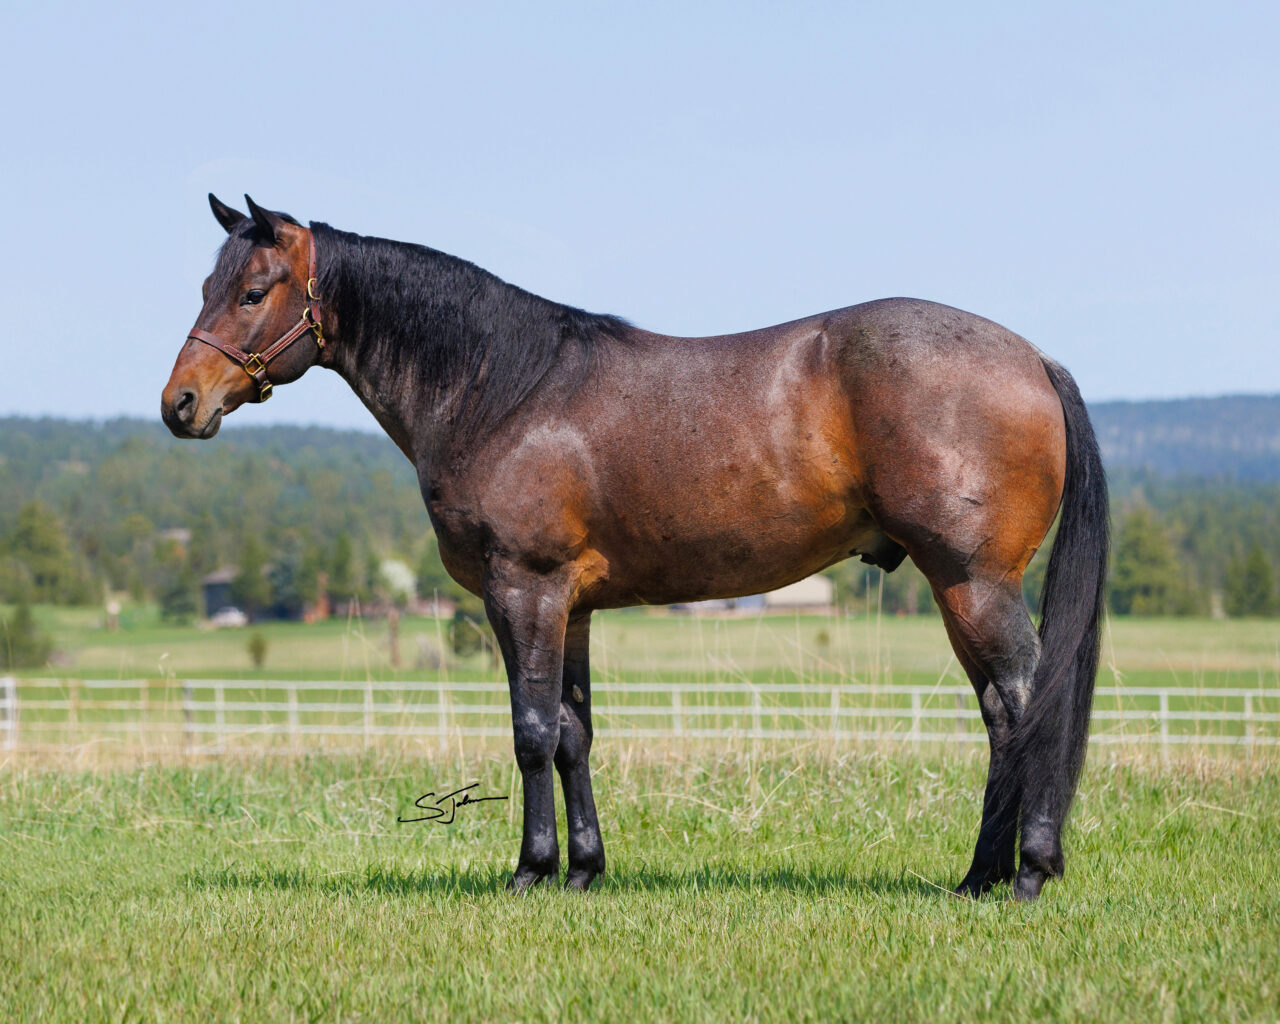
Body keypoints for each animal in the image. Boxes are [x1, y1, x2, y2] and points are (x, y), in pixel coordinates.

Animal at [162, 194, 1108, 901]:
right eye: (206, 282)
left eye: (253, 292)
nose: (181, 403)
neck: (505, 390)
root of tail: (1032, 358)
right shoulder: (570, 606)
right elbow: (574, 732)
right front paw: (584, 870)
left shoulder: (524, 590)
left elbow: (531, 732)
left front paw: (531, 870)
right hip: (959, 591)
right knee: (1001, 716)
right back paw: (980, 876)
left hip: (974, 583)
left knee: (1028, 703)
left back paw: (1027, 872)